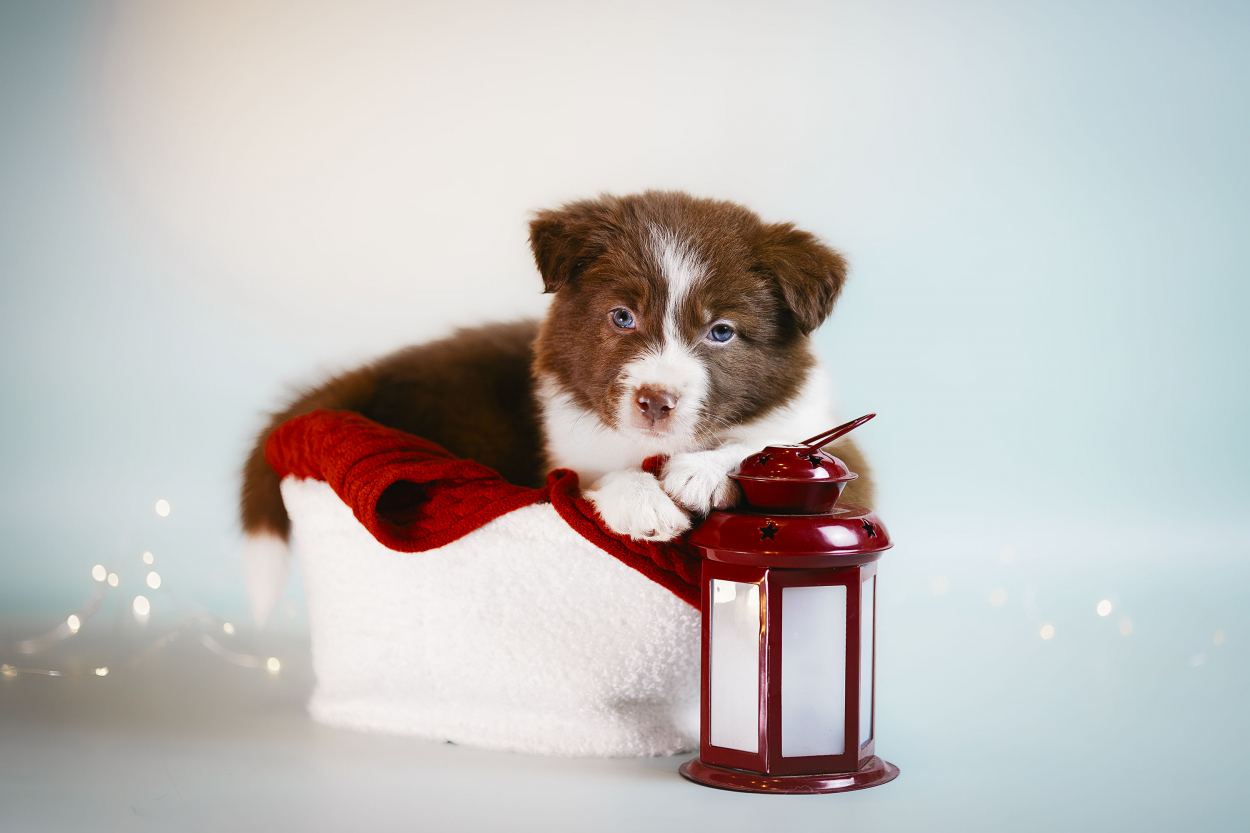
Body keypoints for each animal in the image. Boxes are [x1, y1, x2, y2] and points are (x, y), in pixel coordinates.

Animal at [240, 190, 873, 621]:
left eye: (721, 332)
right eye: (622, 316)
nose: (655, 402)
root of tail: (370, 374)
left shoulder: (836, 445)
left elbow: (776, 445)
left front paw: (704, 470)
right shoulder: (568, 450)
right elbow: (588, 481)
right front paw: (643, 502)